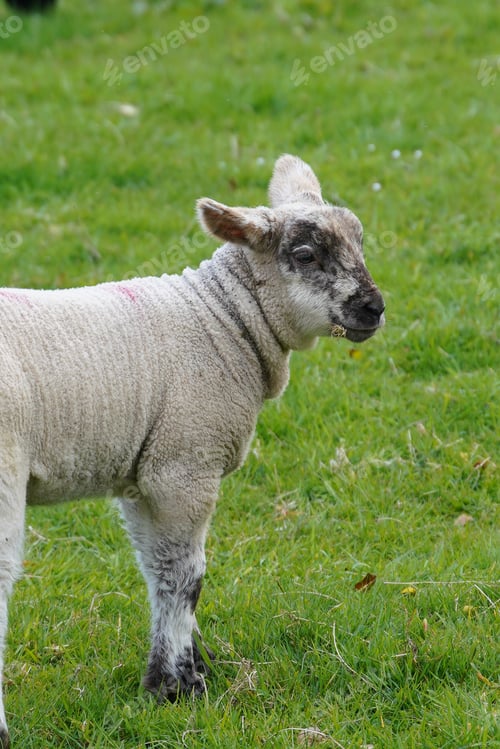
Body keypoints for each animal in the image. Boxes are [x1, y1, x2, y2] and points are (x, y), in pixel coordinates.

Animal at [0, 155, 385, 747]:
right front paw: (179, 687)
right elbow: (185, 576)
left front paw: (185, 669)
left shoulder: (144, 473)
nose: (374, 308)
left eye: (361, 242)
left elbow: (155, 571)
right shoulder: (183, 463)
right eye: (305, 255)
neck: (222, 320)